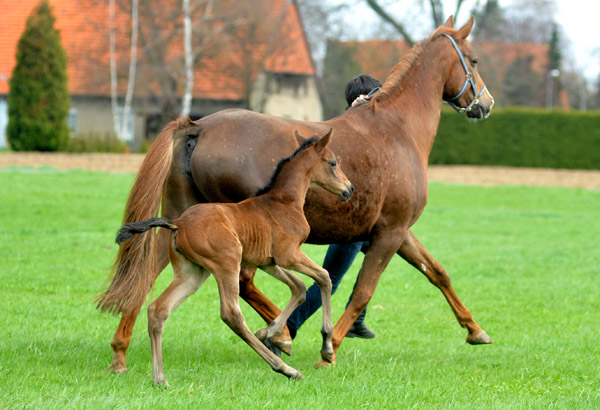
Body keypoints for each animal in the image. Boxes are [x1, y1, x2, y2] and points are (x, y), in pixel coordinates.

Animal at [101, 16, 496, 370]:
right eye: (474, 60)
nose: (487, 103)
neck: (396, 128)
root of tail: (198, 126)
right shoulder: (390, 232)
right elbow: (361, 292)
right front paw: (329, 349)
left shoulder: (396, 232)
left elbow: (437, 272)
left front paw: (475, 329)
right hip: (236, 236)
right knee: (244, 284)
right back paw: (280, 334)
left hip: (181, 222)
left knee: (147, 273)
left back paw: (121, 352)